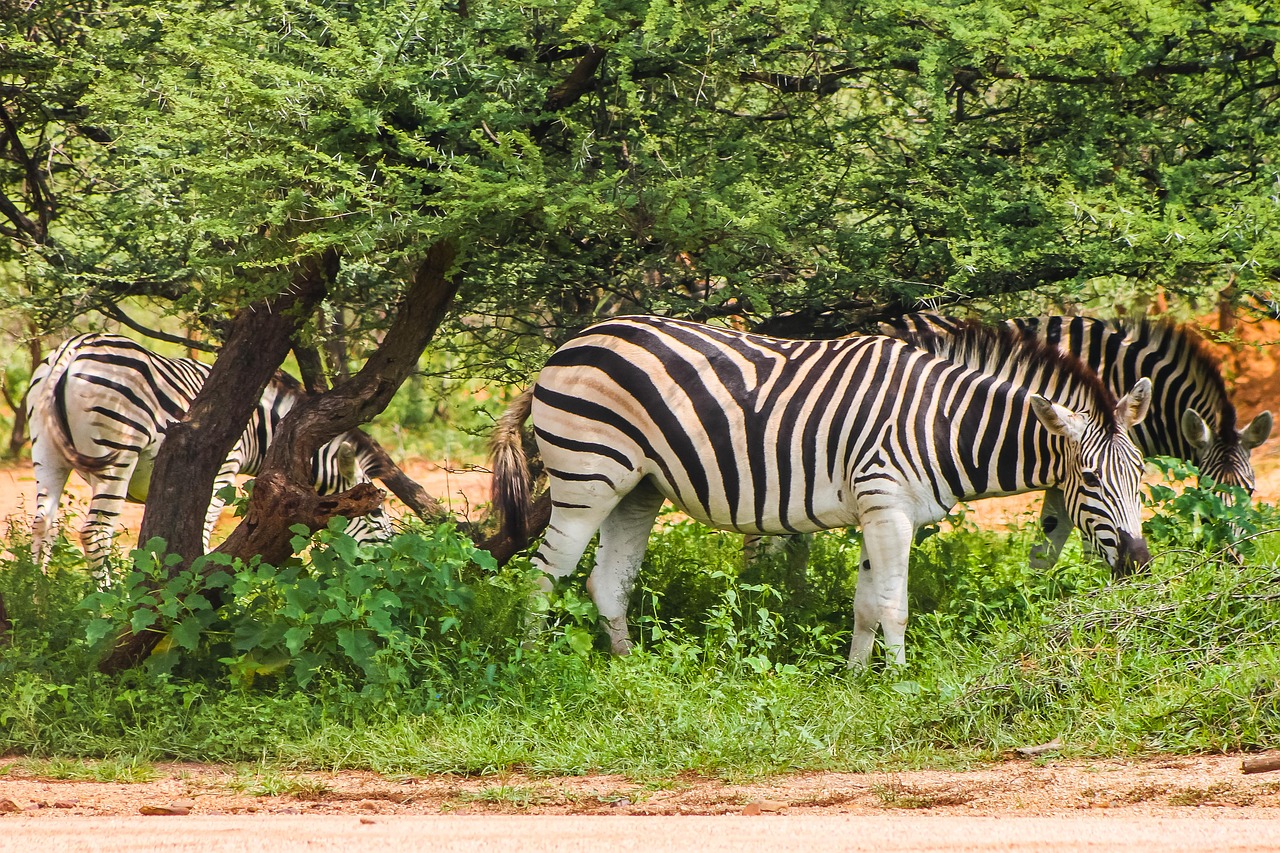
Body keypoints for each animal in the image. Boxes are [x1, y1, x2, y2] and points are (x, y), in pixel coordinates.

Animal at [28, 333, 389, 578]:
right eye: (374, 513)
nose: (385, 567)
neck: (259, 427)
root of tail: (73, 348)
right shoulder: (222, 471)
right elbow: (200, 531)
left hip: (45, 449)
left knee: (44, 524)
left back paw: (37, 599)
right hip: (118, 449)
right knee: (96, 532)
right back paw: (108, 605)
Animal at [486, 312, 1152, 666]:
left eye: (1142, 476)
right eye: (1090, 479)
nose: (1140, 564)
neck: (942, 422)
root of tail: (569, 345)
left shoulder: (876, 511)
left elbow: (865, 603)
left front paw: (856, 678)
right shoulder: (887, 506)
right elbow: (894, 604)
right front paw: (898, 684)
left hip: (638, 489)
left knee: (606, 581)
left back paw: (628, 671)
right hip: (586, 478)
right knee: (543, 576)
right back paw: (535, 669)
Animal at [885, 312, 1274, 563]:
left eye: (1250, 491)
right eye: (1204, 492)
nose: (1232, 559)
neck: (1114, 371)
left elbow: (1050, 542)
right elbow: (1084, 543)